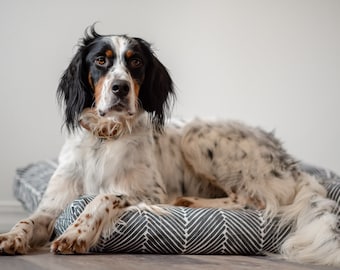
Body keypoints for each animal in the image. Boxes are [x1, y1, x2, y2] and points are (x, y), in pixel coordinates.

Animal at [0, 25, 338, 266]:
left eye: (136, 62)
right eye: (100, 60)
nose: (120, 88)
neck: (106, 137)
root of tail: (289, 163)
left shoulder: (150, 194)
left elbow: (103, 197)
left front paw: (76, 233)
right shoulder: (52, 205)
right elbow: (28, 220)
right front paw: (10, 237)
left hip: (197, 137)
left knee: (252, 199)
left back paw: (189, 201)